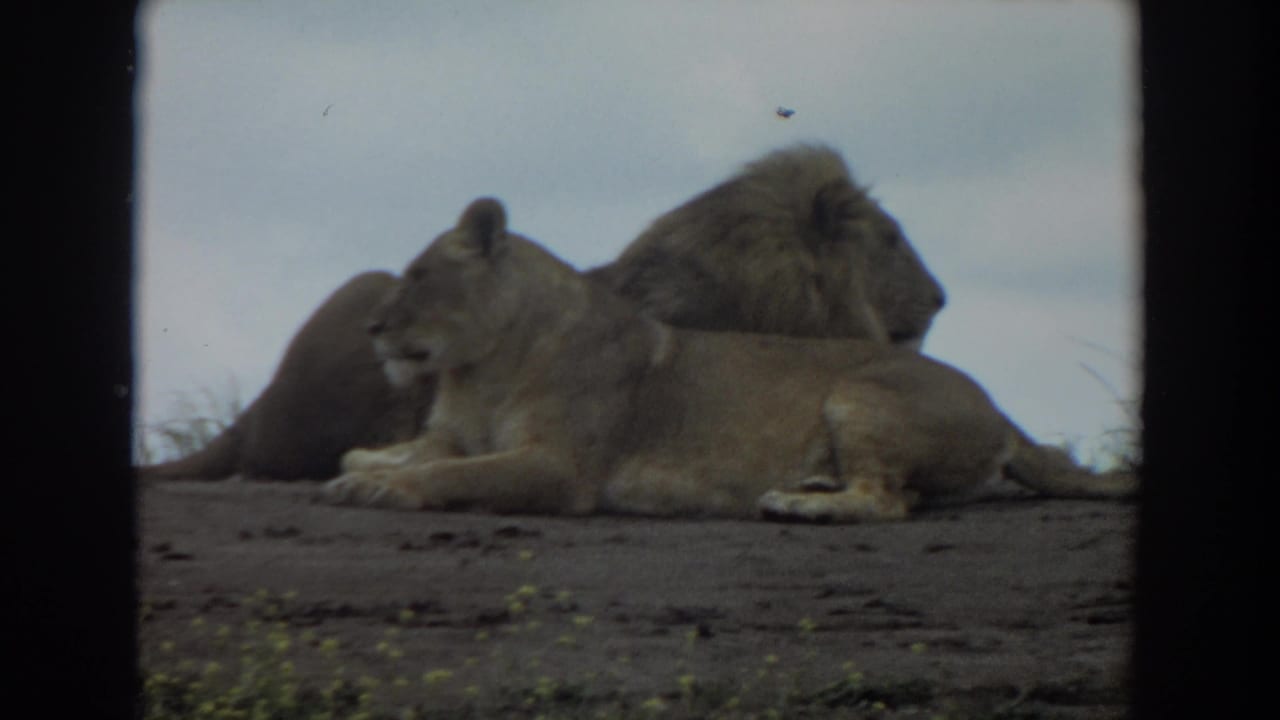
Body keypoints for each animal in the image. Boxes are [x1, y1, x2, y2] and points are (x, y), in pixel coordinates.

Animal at [323, 198, 1136, 522]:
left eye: (419, 275)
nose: (370, 326)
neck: (482, 367)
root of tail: (1001, 409)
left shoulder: (561, 466)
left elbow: (455, 475)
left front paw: (384, 487)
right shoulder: (457, 431)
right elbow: (412, 452)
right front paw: (362, 467)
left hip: (860, 393)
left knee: (888, 501)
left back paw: (803, 504)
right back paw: (811, 482)